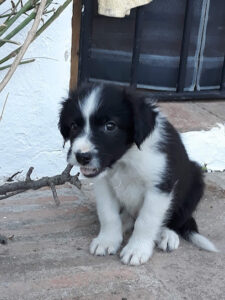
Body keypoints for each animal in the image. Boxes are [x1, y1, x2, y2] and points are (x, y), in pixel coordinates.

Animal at [59, 83, 217, 266]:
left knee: (176, 219)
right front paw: (107, 240)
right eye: (74, 126)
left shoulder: (159, 187)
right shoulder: (103, 184)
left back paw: (167, 234)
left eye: (110, 126)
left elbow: (146, 221)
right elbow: (108, 215)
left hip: (195, 182)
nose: (81, 156)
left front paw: (137, 249)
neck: (126, 159)